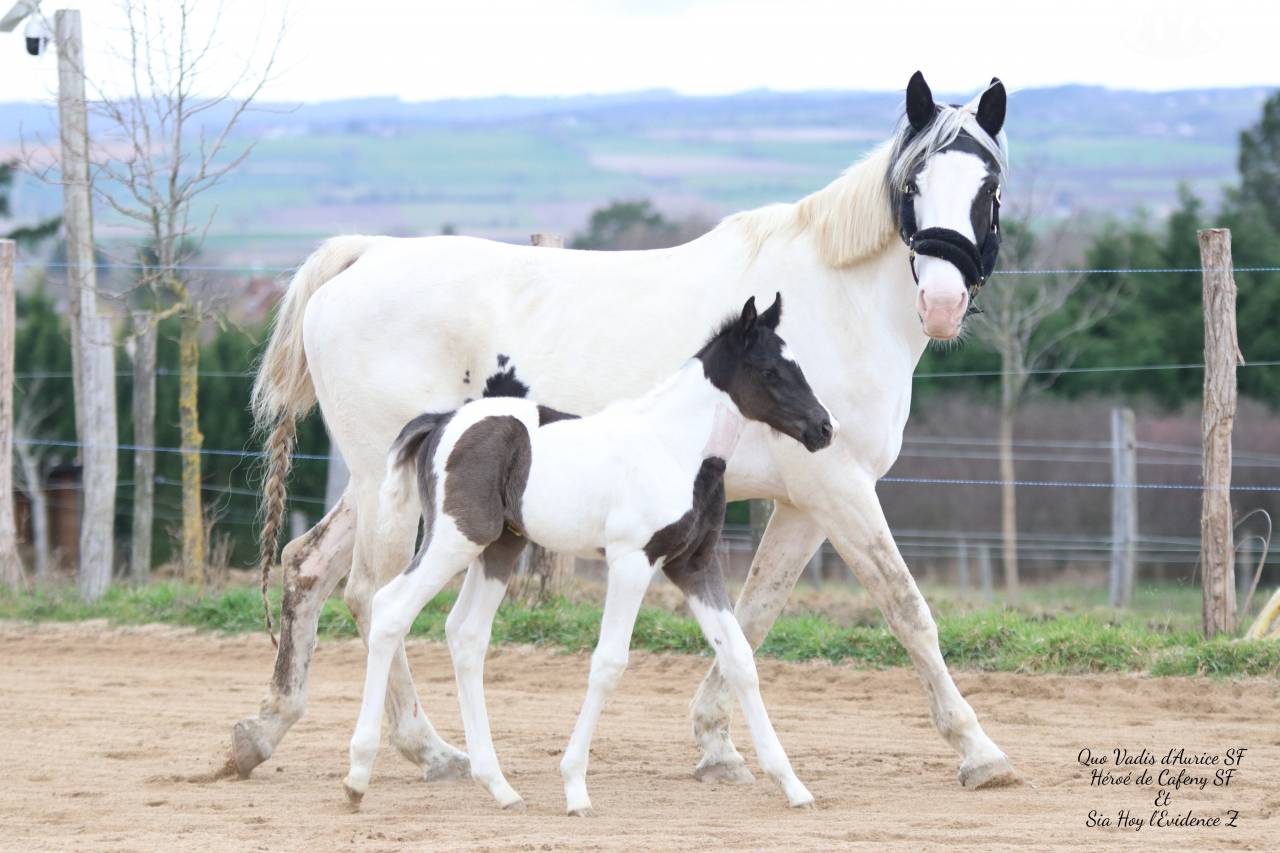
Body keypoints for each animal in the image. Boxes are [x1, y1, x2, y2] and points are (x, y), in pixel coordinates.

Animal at [342, 294, 833, 815]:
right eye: (769, 370)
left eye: (797, 365)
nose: (824, 428)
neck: (673, 448)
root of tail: (441, 421)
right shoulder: (632, 561)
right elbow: (609, 663)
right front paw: (575, 785)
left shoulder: (694, 566)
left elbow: (739, 658)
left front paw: (792, 785)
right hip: (456, 538)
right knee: (389, 608)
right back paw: (358, 777)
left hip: (500, 546)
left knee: (466, 634)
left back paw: (499, 786)